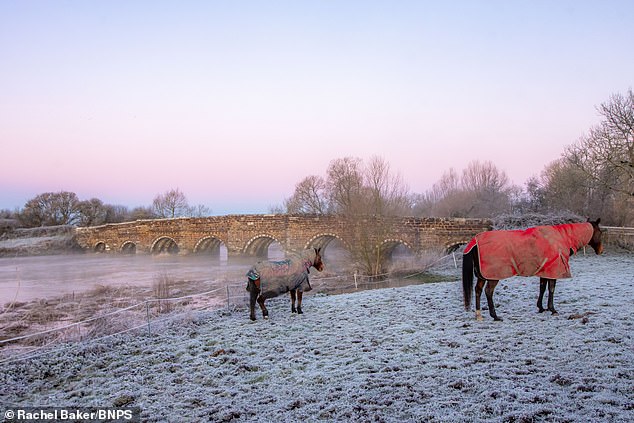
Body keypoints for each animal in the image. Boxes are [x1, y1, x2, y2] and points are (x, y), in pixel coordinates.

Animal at [462, 222, 600, 322]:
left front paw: (541, 308)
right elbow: (551, 289)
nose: (600, 250)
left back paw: (479, 315)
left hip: (482, 276)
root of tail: (475, 241)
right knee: (488, 292)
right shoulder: (553, 271)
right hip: (493, 276)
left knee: (478, 290)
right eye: (600, 232)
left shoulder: (545, 271)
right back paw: (495, 316)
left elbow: (542, 288)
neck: (561, 238)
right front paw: (552, 309)